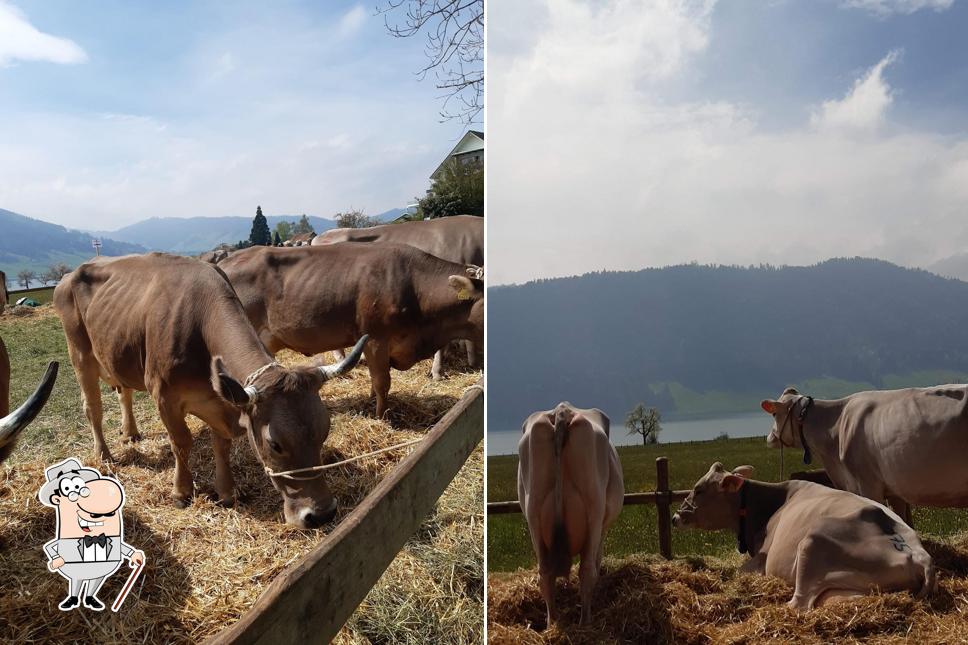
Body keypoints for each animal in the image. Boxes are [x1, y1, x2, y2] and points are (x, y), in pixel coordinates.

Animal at [55, 253, 366, 528]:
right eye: (275, 444)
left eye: (325, 431)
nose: (322, 514)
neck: (199, 322)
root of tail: (70, 275)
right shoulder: (164, 396)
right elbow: (181, 442)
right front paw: (182, 492)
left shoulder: (224, 400)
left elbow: (222, 444)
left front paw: (227, 491)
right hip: (80, 355)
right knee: (92, 408)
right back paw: (104, 456)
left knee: (124, 393)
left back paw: (130, 432)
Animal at [520, 402, 624, 624]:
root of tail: (562, 411)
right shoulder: (602, 529)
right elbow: (596, 561)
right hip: (594, 512)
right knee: (587, 571)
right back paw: (585, 622)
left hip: (533, 514)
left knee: (545, 572)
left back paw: (552, 622)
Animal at [668, 460, 932, 608]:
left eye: (699, 490)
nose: (674, 518)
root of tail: (917, 555)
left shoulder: (762, 558)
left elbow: (739, 571)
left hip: (810, 546)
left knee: (799, 604)